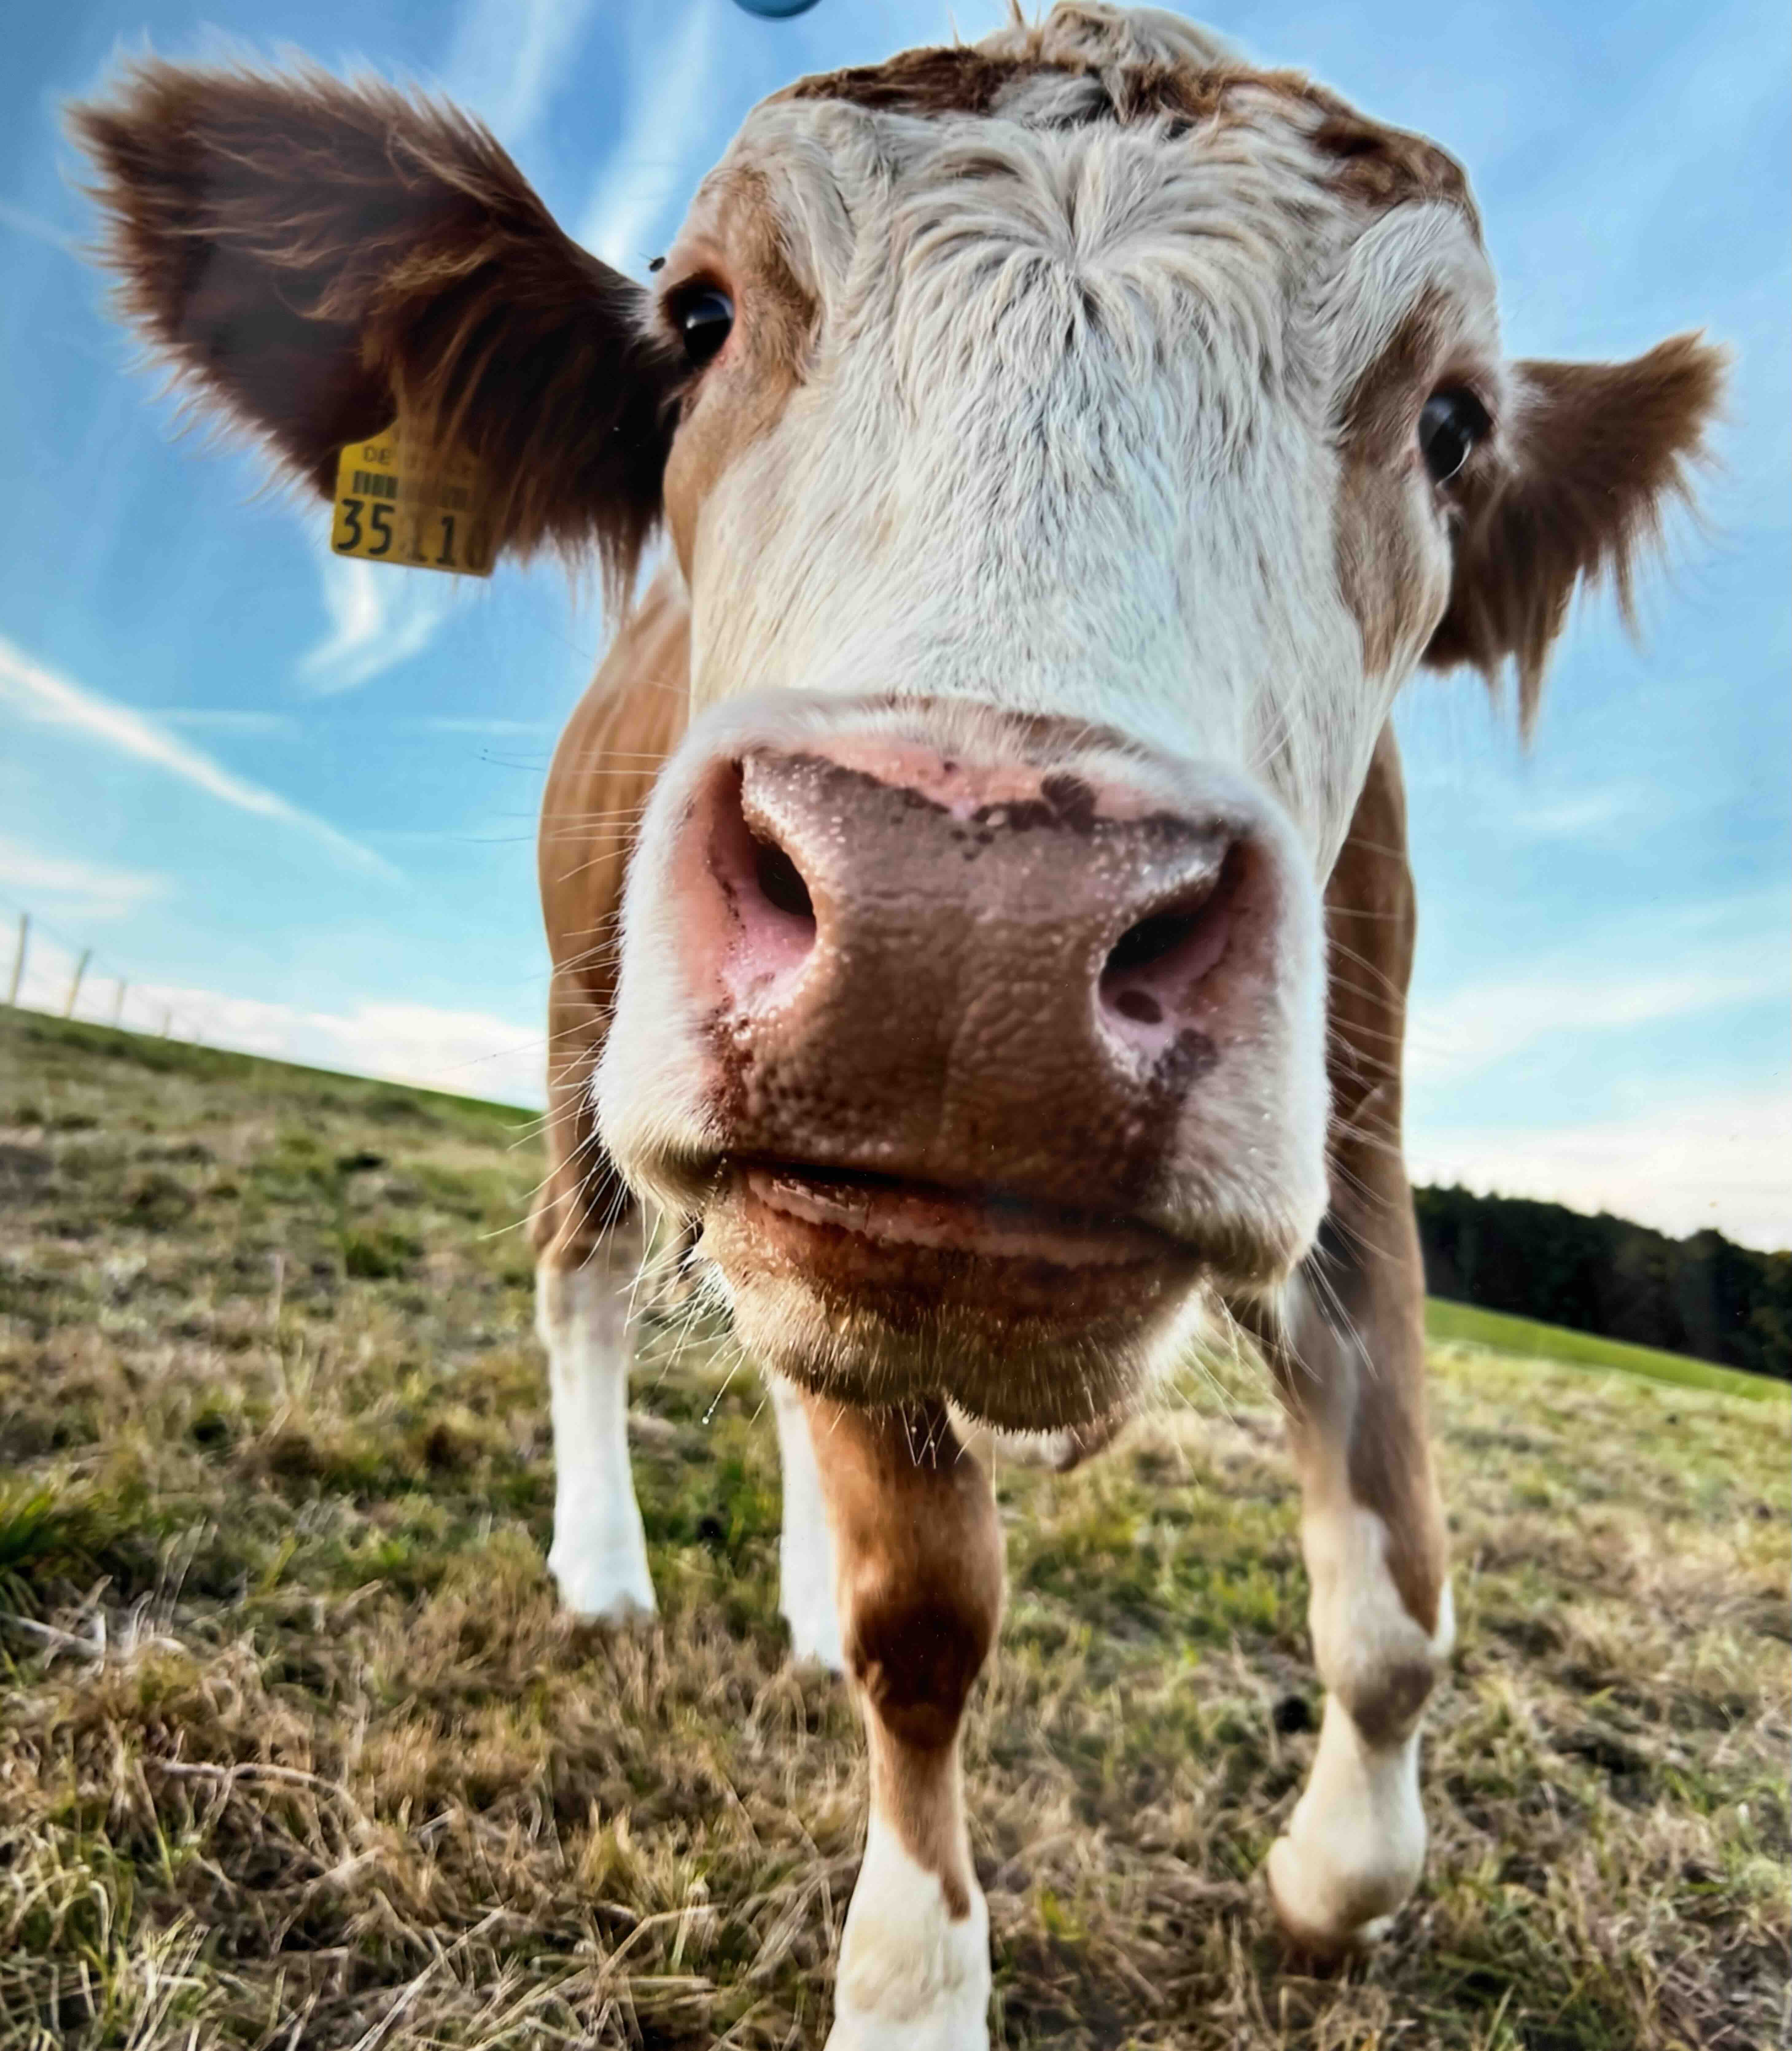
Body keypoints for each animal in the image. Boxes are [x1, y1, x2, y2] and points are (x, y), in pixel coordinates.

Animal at [75, 7, 1720, 2042]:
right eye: (697, 316)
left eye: (1451, 422)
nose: (973, 924)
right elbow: (926, 1623)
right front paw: (914, 1985)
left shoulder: (1356, 1133)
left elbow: (1400, 1587)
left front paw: (1332, 1881)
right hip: (582, 1017)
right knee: (587, 1272)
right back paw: (605, 1572)